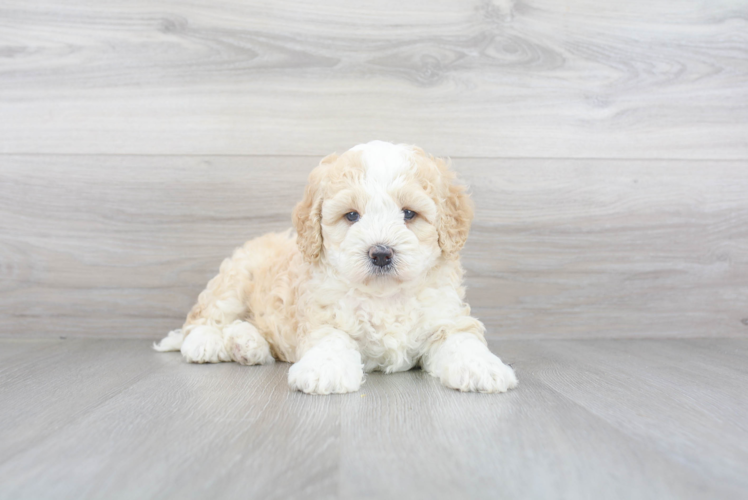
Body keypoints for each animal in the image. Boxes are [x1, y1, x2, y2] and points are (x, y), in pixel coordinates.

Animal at [155, 140, 516, 394]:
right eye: (352, 216)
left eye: (409, 214)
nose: (381, 253)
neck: (385, 297)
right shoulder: (322, 316)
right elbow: (331, 340)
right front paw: (324, 371)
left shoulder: (445, 318)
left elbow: (461, 340)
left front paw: (483, 368)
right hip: (236, 278)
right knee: (201, 320)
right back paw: (209, 343)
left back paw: (247, 344)